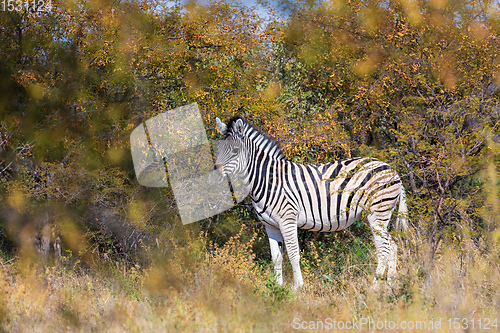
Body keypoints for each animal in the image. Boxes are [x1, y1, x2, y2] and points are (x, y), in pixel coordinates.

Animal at [213, 115, 408, 288]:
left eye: (235, 151)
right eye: (219, 150)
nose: (213, 177)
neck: (268, 180)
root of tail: (392, 169)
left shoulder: (288, 220)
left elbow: (293, 255)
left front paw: (298, 288)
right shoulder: (270, 225)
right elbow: (276, 258)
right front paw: (276, 288)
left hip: (378, 212)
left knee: (384, 249)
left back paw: (374, 288)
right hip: (372, 215)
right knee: (392, 246)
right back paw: (390, 286)